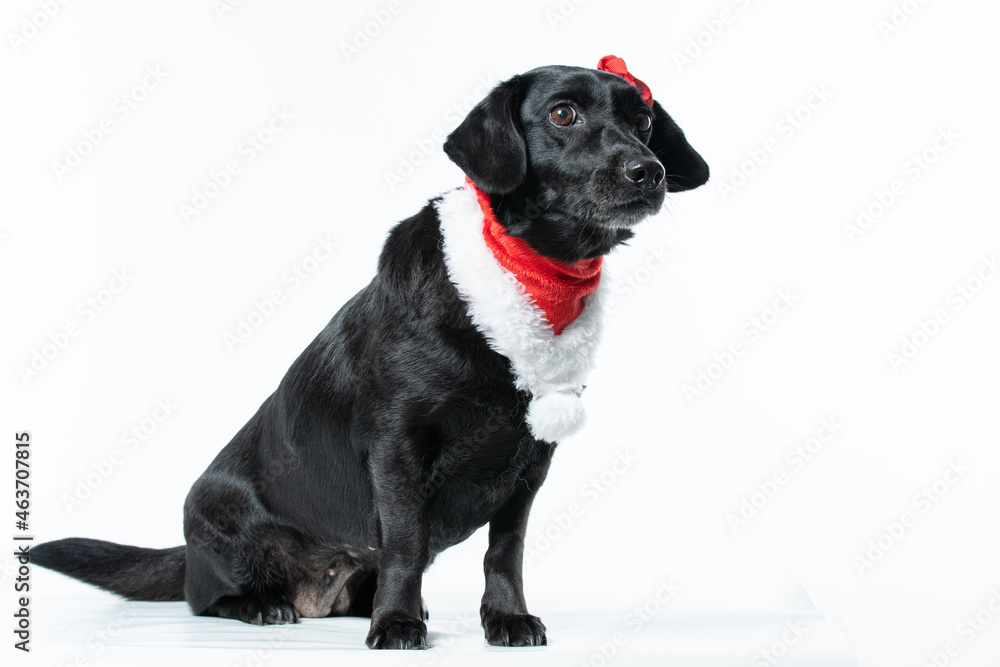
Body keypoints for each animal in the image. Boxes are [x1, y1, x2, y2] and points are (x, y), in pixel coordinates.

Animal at [35, 58, 708, 652]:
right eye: (563, 113)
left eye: (644, 121)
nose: (649, 171)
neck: (529, 276)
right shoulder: (398, 449)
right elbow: (405, 546)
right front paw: (397, 624)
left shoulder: (530, 462)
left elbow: (505, 550)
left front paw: (506, 619)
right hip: (217, 517)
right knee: (209, 598)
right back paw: (263, 605)